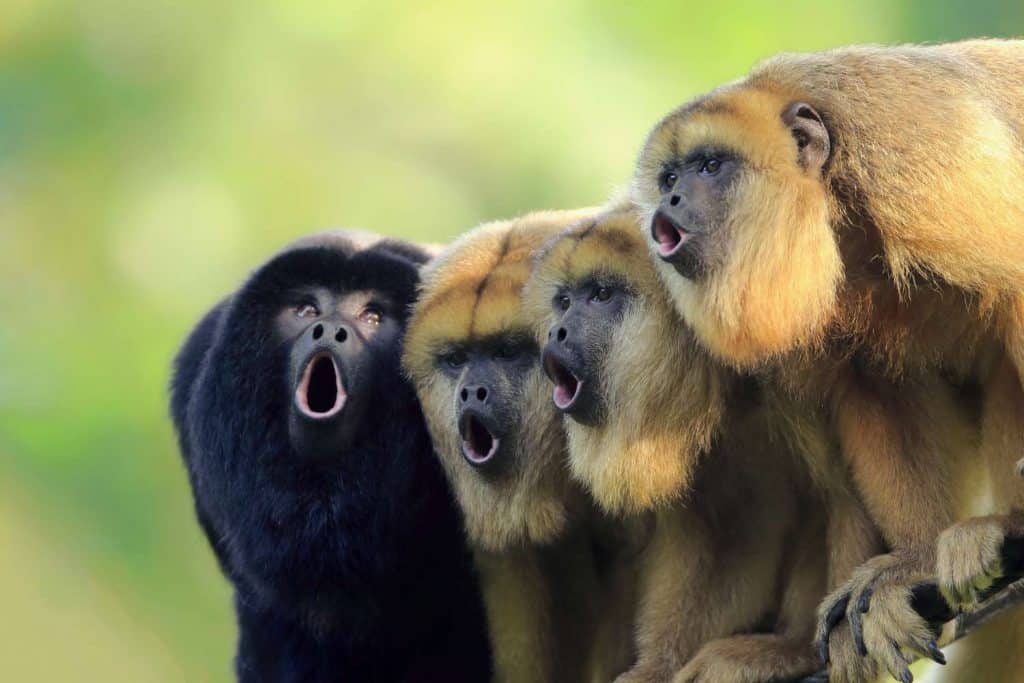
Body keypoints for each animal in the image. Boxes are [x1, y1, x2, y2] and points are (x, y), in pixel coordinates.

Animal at [522, 204, 889, 683]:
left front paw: (817, 645)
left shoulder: (795, 362)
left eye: (601, 295)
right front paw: (658, 666)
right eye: (564, 302)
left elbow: (844, 491)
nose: (557, 332)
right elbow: (710, 529)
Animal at [630, 40, 1024, 681]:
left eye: (710, 167)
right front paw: (914, 562)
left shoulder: (923, 151)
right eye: (669, 176)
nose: (670, 199)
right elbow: (875, 386)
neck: (830, 195)